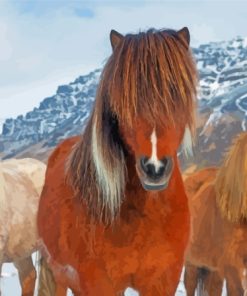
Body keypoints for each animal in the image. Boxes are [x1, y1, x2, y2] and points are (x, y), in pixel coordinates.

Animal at [37, 27, 198, 296]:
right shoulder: (101, 283)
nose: (155, 168)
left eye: (177, 93)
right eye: (123, 100)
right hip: (58, 276)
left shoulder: (162, 281)